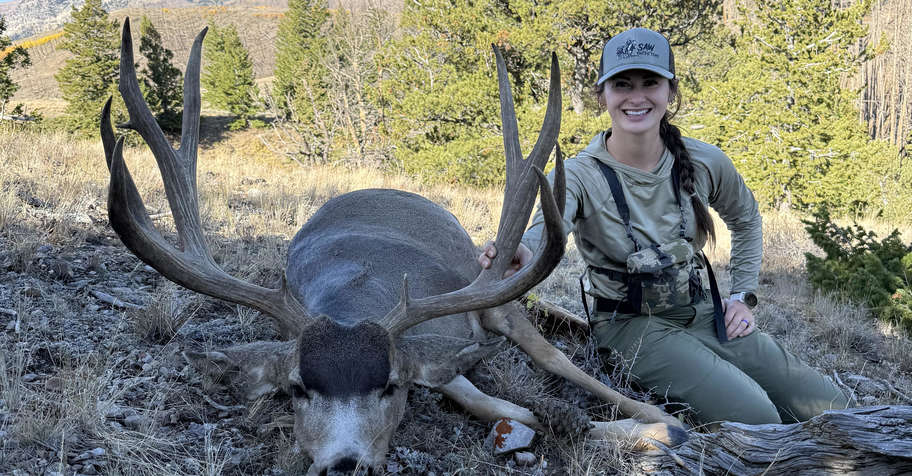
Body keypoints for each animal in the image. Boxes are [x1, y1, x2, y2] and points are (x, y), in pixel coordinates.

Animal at [100, 19, 686, 475]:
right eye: (297, 388)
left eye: (389, 386)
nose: (344, 464)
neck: (357, 291)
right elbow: (509, 410)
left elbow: (531, 399)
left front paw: (660, 431)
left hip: (497, 292)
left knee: (557, 356)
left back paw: (660, 415)